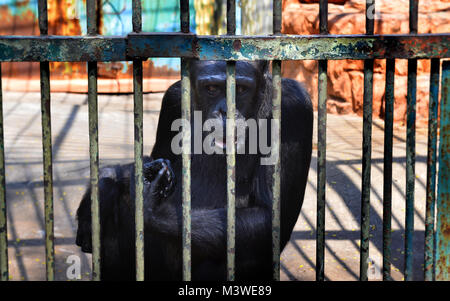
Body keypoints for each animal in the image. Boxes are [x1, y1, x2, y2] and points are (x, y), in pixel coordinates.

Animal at [75, 59, 312, 280]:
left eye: (241, 89)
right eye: (212, 88)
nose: (225, 111)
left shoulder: (293, 108)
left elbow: (271, 214)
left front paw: (149, 206)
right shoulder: (173, 98)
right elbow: (157, 159)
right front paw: (106, 182)